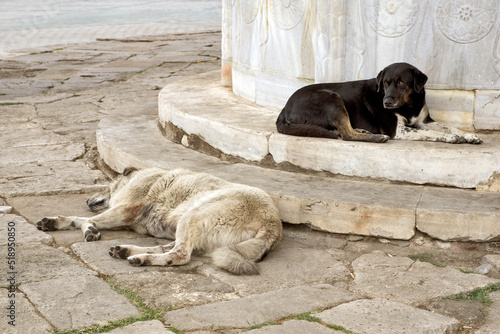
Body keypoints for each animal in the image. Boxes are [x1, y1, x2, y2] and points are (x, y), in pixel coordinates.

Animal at [36, 167, 282, 274]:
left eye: (106, 185)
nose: (87, 200)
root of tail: (273, 226)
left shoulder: (126, 210)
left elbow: (87, 219)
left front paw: (87, 229)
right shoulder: (125, 216)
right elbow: (80, 219)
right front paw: (57, 222)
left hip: (193, 216)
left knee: (180, 255)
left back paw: (141, 259)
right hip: (191, 227)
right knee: (169, 248)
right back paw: (128, 251)